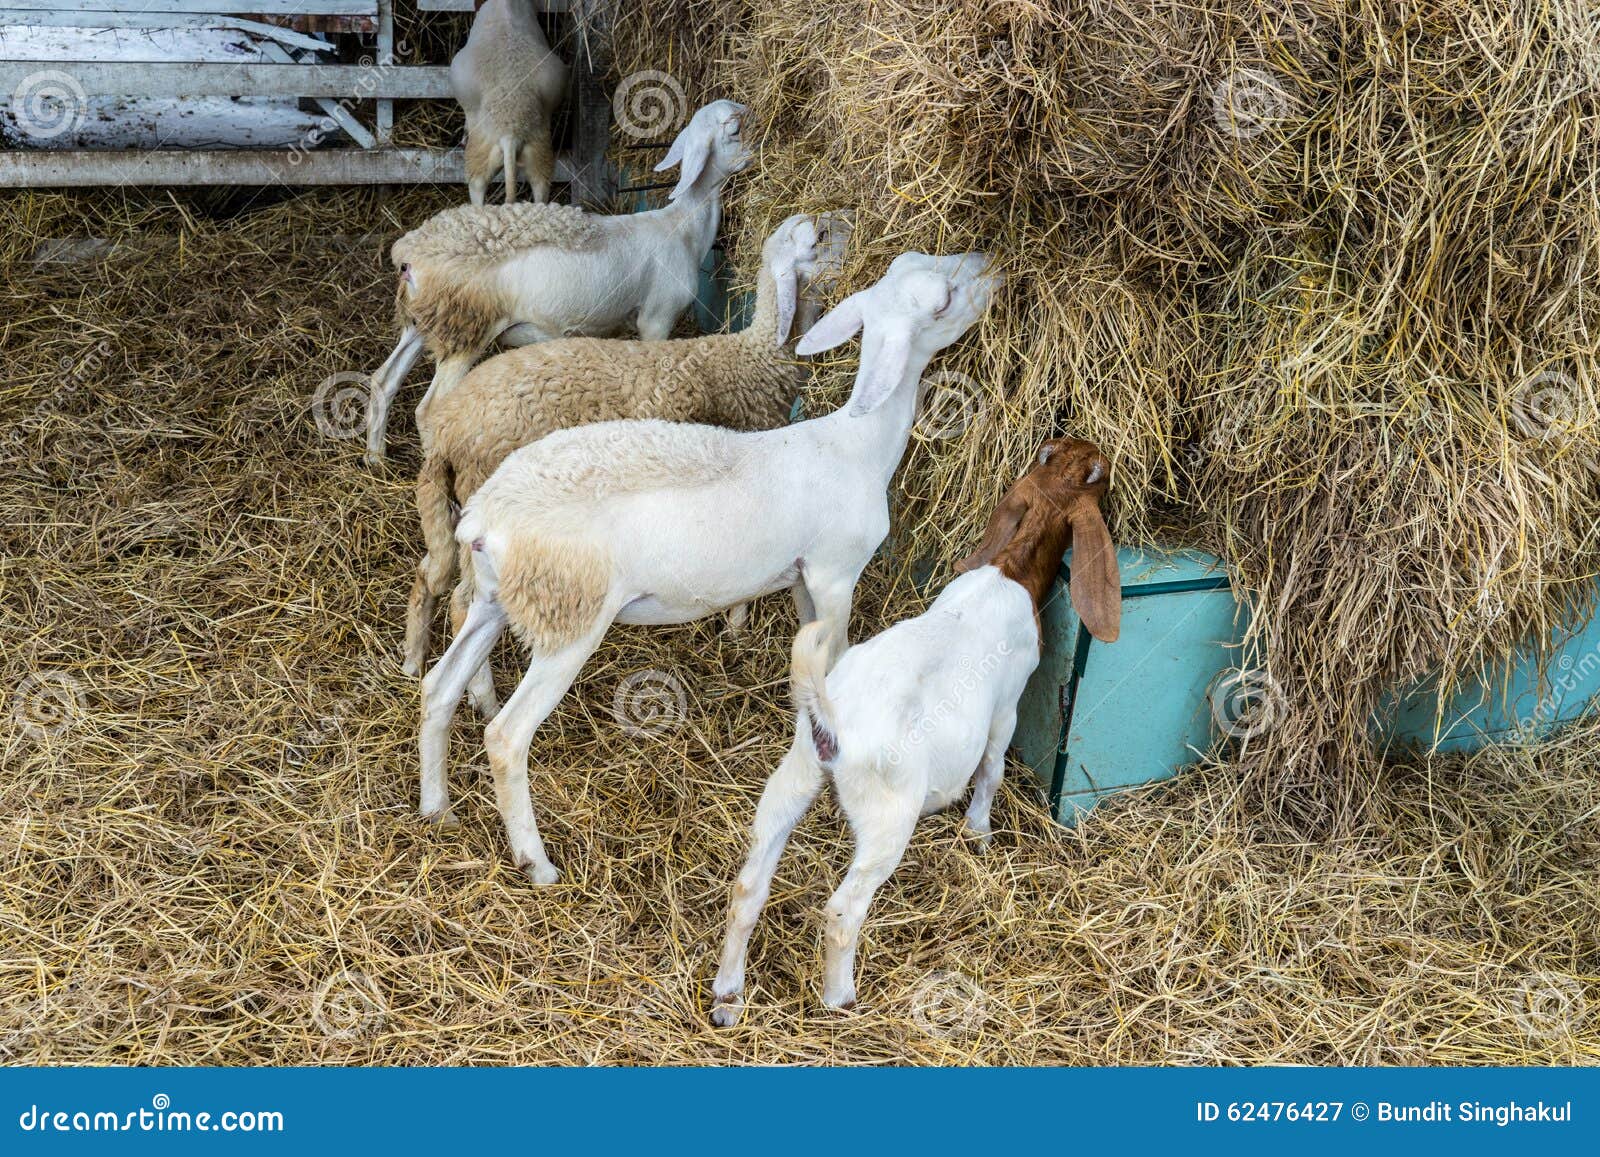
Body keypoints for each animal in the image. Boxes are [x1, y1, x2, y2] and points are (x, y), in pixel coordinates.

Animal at [365, 99, 752, 465]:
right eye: (734, 129)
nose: (755, 148)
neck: (684, 226)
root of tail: (410, 255)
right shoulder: (657, 319)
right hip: (467, 329)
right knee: (429, 410)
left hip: (426, 323)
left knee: (383, 380)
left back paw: (375, 458)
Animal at [415, 251, 1001, 885]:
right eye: (942, 300)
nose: (988, 268)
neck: (857, 445)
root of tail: (484, 519)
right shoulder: (834, 572)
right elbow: (840, 652)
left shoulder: (802, 577)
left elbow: (811, 650)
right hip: (568, 617)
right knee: (506, 735)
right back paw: (537, 863)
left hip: (497, 600)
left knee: (438, 687)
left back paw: (437, 807)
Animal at [709, 437, 1122, 1024]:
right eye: (1099, 473)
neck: (1010, 570)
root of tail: (832, 722)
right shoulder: (1006, 707)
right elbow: (992, 769)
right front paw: (979, 833)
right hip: (886, 817)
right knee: (842, 910)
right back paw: (840, 997)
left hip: (792, 778)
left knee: (748, 888)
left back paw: (728, 996)